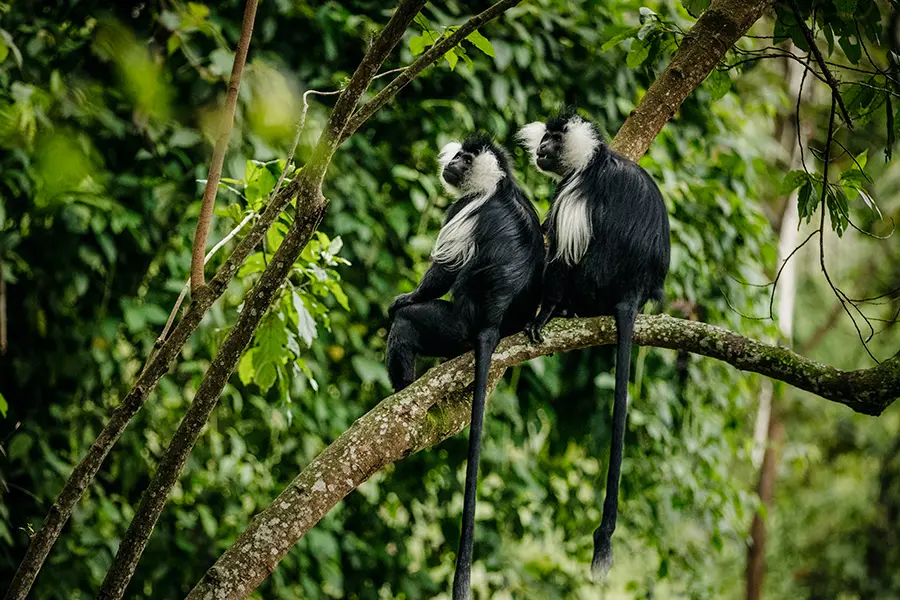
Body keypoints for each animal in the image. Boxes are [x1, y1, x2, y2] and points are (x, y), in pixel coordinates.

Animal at [386, 134, 544, 600]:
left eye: (465, 158)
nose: (452, 162)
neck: (498, 184)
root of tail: (491, 322)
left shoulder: (464, 210)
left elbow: (441, 271)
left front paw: (404, 298)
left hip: (452, 325)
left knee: (410, 325)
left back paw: (402, 387)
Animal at [517, 108, 670, 579]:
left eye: (552, 140)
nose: (541, 150)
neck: (592, 159)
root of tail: (631, 292)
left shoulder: (575, 192)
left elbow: (562, 254)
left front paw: (544, 313)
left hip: (594, 282)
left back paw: (562, 311)